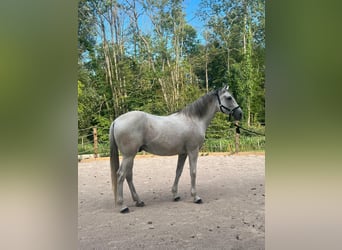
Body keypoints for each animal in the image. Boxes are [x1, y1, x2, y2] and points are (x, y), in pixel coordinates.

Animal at [110, 86, 243, 213]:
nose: (240, 114)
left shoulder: (183, 153)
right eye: (229, 97)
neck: (194, 120)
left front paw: (175, 195)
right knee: (121, 175)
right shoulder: (193, 151)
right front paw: (196, 197)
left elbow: (178, 172)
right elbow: (193, 172)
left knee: (128, 176)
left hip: (131, 155)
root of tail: (116, 121)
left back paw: (138, 201)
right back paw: (123, 206)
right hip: (128, 155)